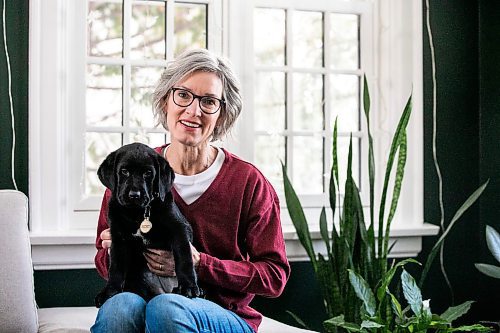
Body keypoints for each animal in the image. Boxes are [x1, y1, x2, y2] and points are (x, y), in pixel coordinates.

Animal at [94, 141, 200, 308]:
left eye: (148, 173)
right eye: (124, 171)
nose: (134, 195)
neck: (137, 213)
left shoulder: (179, 230)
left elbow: (184, 258)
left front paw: (188, 286)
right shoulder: (118, 238)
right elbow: (116, 267)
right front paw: (110, 291)